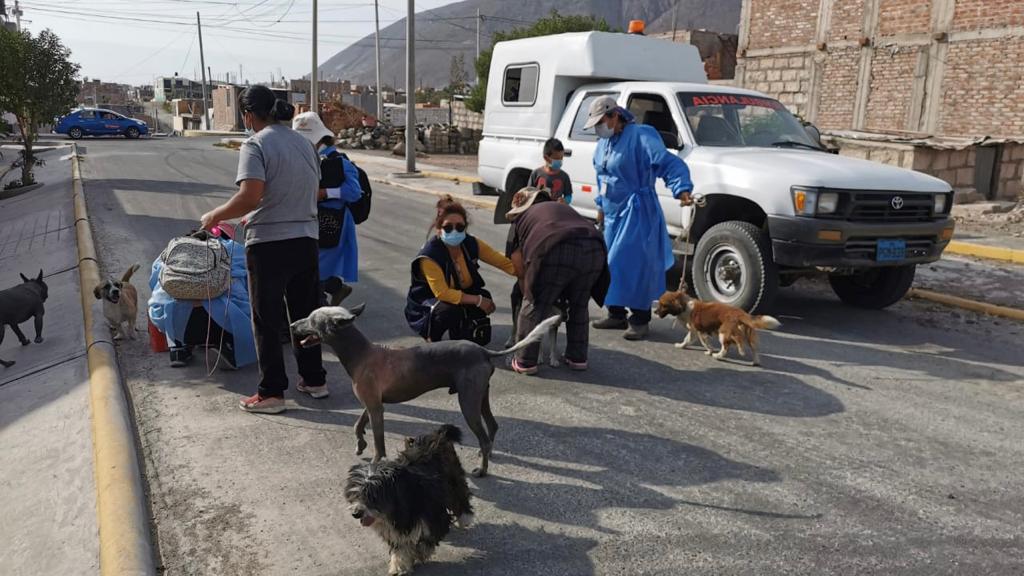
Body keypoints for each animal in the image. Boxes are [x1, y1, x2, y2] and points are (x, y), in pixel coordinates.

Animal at [288, 305, 561, 475]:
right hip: (480, 396)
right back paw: (488, 456)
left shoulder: (376, 408)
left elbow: (379, 443)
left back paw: (482, 470)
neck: (361, 353)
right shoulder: (374, 403)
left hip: (468, 403)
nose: (291, 325)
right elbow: (358, 423)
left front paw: (374, 461)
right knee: (493, 426)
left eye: (311, 319)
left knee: (483, 436)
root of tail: (483, 351)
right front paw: (360, 443)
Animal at [344, 422, 471, 573]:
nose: (356, 514)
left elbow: (428, 540)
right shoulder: (396, 529)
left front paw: (420, 553)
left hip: (452, 477)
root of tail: (436, 434)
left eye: (372, 496)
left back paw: (465, 518)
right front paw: (400, 565)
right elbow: (401, 546)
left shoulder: (435, 517)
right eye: (355, 494)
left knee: (460, 494)